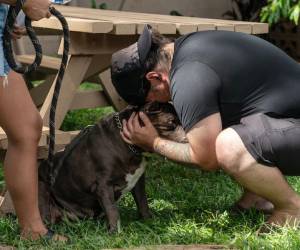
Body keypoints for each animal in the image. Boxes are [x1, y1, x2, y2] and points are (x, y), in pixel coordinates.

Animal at [37, 101, 185, 232]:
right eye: (171, 122)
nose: (186, 139)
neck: (128, 144)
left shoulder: (138, 181)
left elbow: (142, 201)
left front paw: (148, 220)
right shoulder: (103, 185)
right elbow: (112, 210)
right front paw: (115, 233)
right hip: (42, 188)